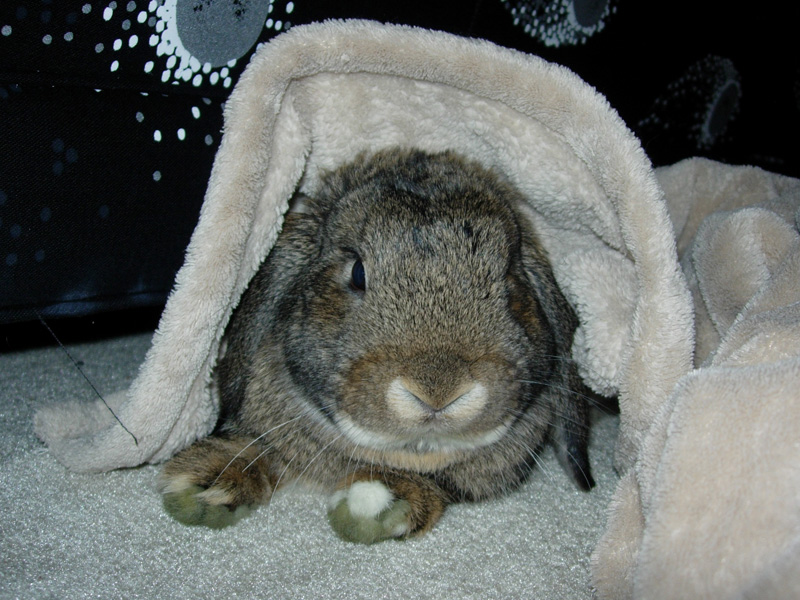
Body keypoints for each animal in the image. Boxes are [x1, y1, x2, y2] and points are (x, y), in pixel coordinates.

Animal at [158, 146, 592, 544]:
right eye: (357, 272)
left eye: (508, 278)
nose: (438, 391)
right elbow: (262, 447)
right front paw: (208, 481)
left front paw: (381, 500)